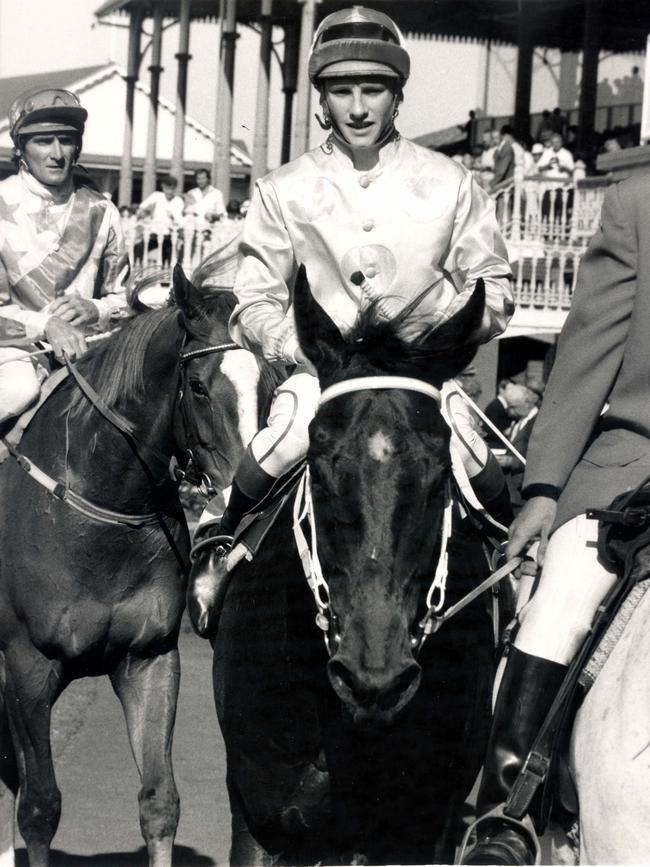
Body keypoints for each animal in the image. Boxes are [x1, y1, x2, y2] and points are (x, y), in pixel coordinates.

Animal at [0, 266, 260, 867]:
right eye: (199, 386)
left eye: (267, 378)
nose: (238, 494)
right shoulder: (27, 667)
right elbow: (39, 807)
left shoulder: (149, 658)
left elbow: (159, 802)